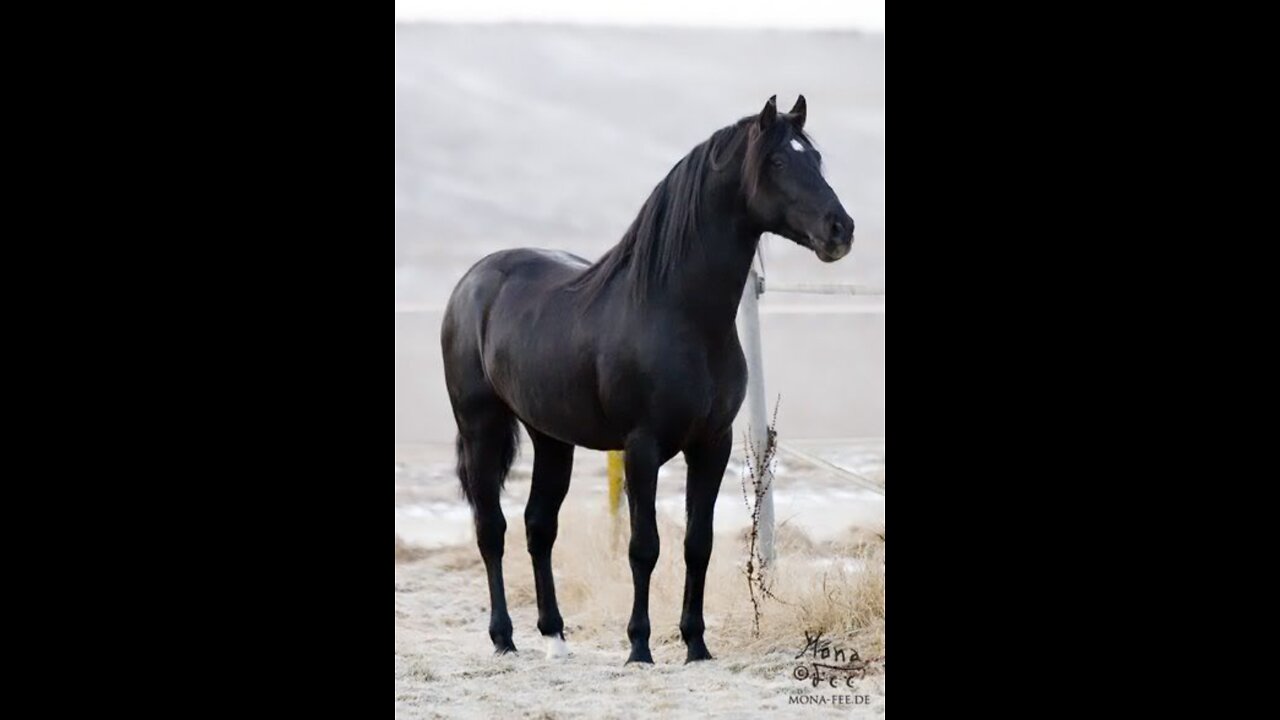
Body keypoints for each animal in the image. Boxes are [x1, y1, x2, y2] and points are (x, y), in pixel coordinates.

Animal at [445, 95, 855, 661]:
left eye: (814, 159)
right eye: (776, 162)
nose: (841, 230)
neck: (677, 311)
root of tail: (473, 280)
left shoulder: (713, 445)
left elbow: (697, 544)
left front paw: (696, 644)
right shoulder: (642, 447)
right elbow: (645, 547)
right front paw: (640, 646)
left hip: (551, 438)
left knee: (538, 526)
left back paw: (555, 636)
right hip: (480, 428)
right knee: (492, 528)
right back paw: (504, 638)